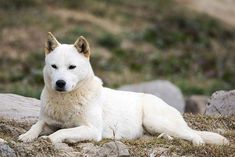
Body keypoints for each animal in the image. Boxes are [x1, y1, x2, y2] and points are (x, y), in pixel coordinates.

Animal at [19, 32, 229, 146]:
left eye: (72, 67)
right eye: (54, 66)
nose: (60, 83)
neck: (66, 100)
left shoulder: (91, 130)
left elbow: (61, 133)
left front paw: (50, 139)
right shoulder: (47, 120)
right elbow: (37, 125)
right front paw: (27, 136)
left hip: (155, 121)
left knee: (192, 134)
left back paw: (197, 142)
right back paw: (166, 138)